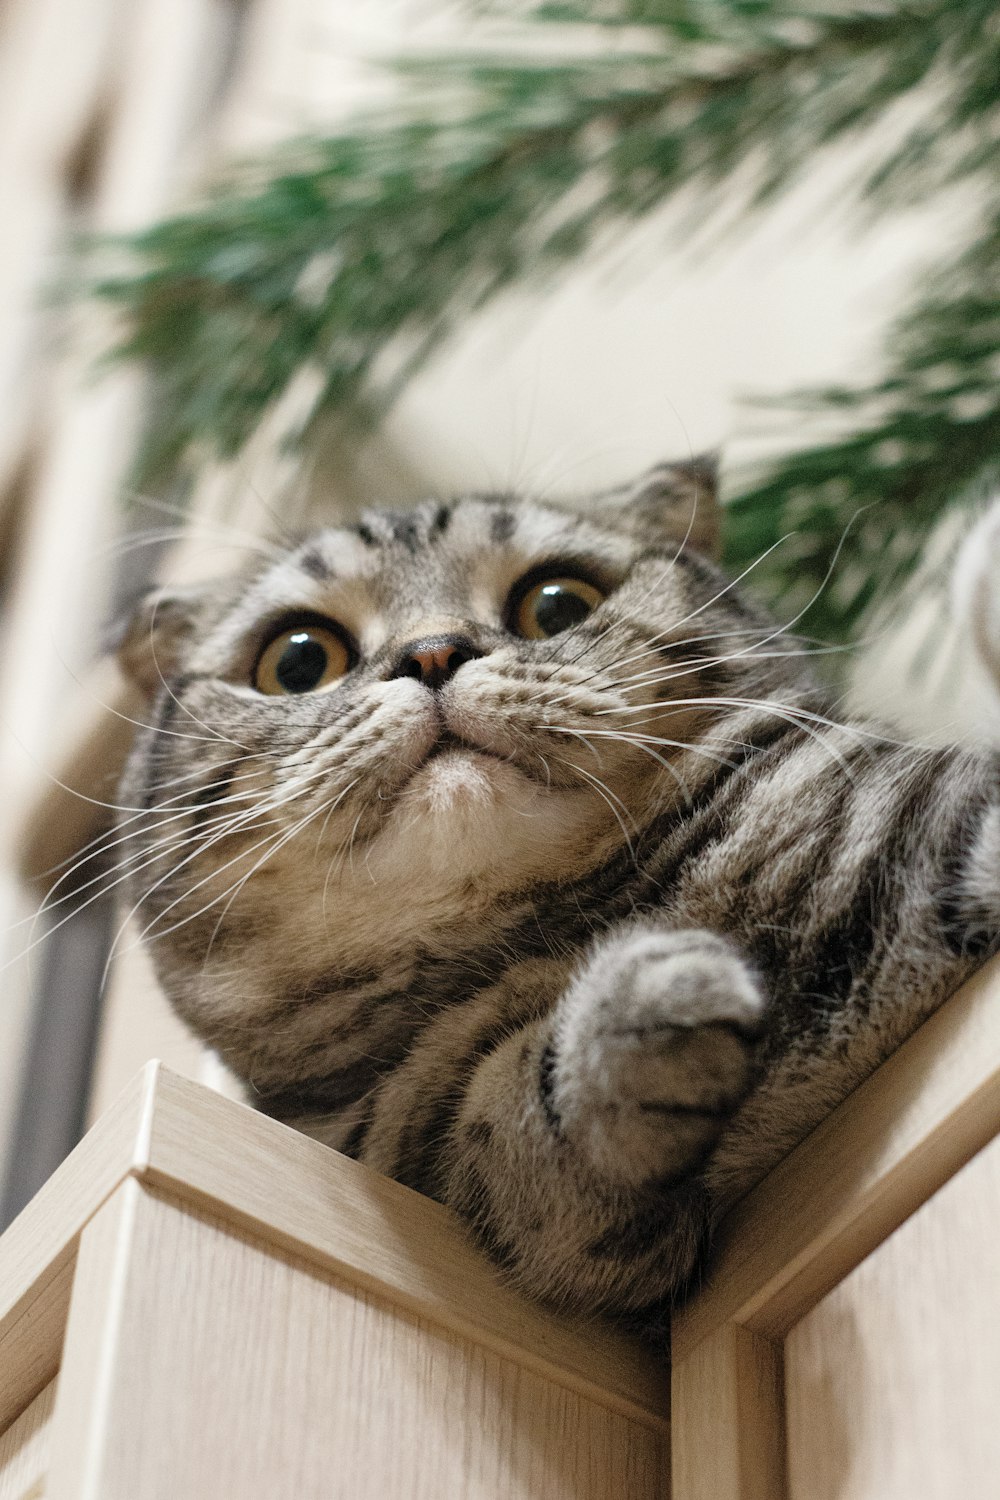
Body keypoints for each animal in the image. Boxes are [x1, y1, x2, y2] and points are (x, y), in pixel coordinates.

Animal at [113, 462, 995, 1332]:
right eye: (298, 662)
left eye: (558, 604)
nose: (433, 652)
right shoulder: (435, 1153)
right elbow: (507, 1133)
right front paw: (629, 1020)